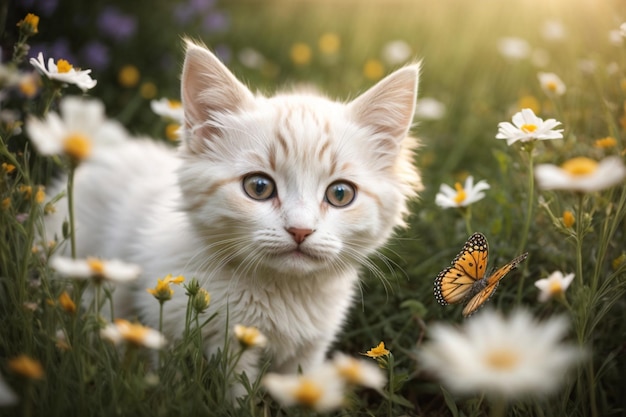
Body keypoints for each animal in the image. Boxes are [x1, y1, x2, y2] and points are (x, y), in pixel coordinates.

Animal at [46, 41, 422, 394]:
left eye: (340, 194)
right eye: (259, 187)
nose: (300, 230)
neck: (284, 294)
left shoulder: (310, 348)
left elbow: (300, 387)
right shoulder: (210, 337)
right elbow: (228, 392)